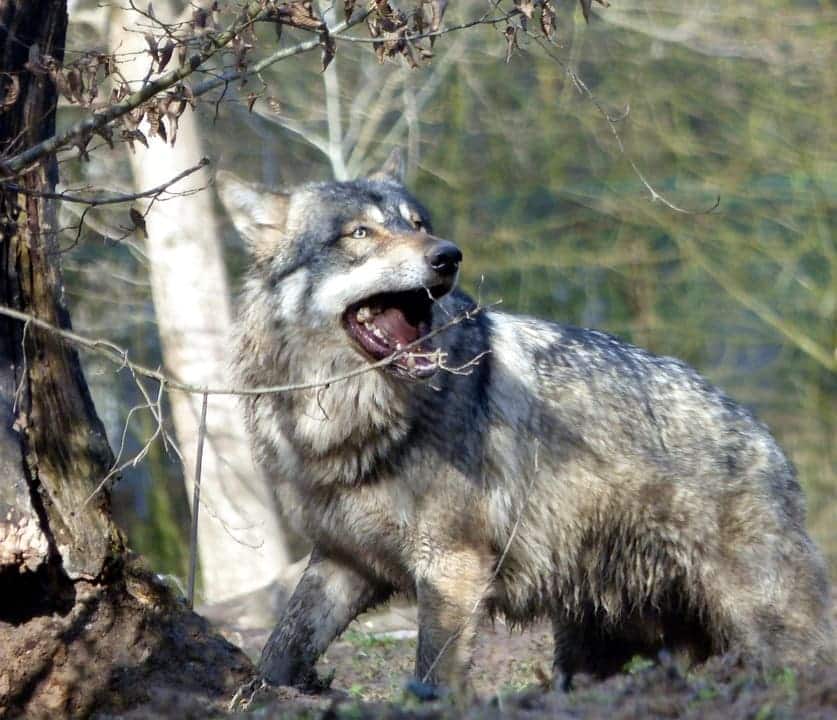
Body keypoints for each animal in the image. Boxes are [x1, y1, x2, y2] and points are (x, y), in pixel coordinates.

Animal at [217, 152, 832, 692]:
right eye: (360, 234)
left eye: (417, 225)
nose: (448, 255)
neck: (345, 420)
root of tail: (766, 439)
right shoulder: (342, 562)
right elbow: (281, 649)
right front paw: (258, 695)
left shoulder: (452, 569)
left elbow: (432, 675)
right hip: (589, 647)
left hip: (760, 623)